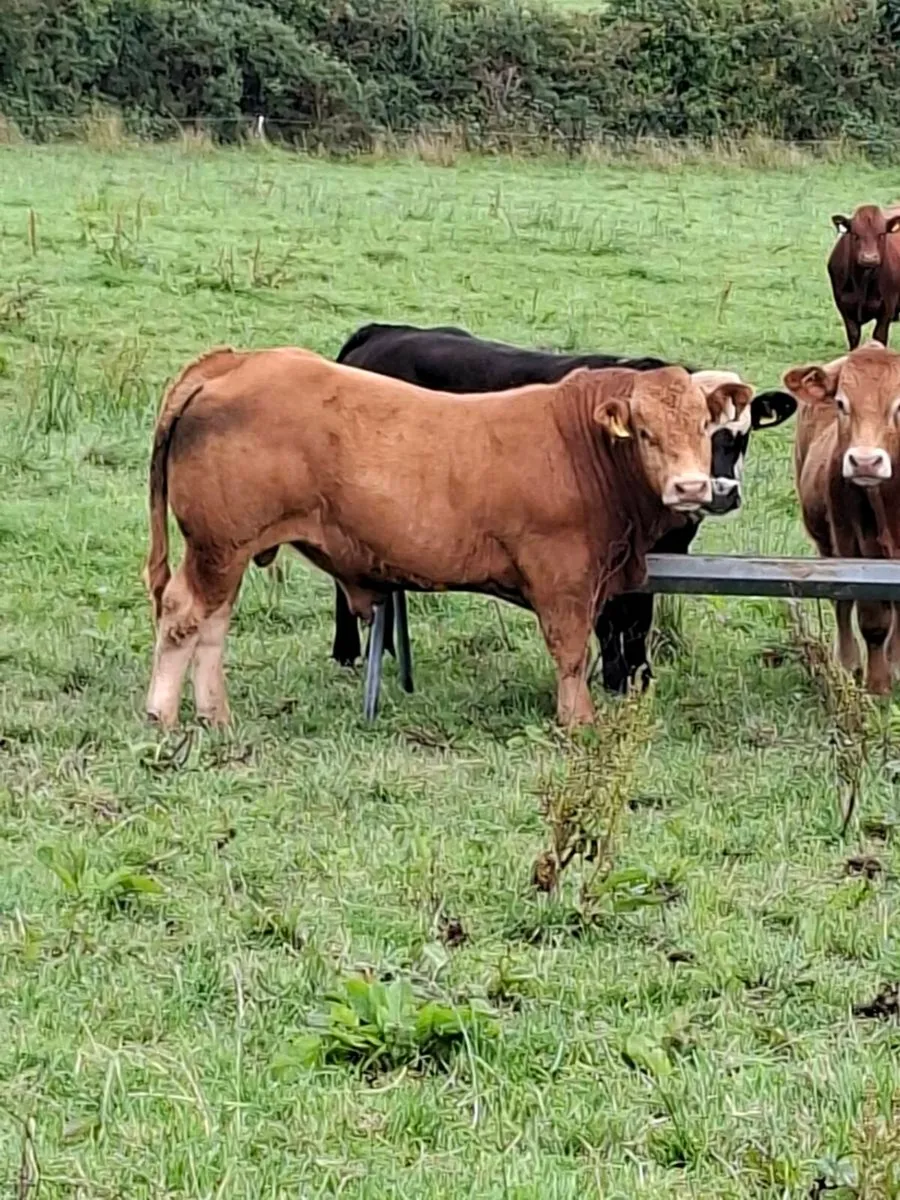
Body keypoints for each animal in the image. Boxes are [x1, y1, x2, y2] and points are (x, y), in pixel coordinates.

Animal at [144, 346, 749, 728]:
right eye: (644, 431)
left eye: (706, 426)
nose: (693, 486)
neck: (580, 447)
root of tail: (237, 361)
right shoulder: (564, 577)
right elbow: (572, 652)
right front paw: (578, 721)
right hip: (219, 545)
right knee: (184, 615)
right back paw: (163, 716)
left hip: (226, 552)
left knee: (212, 624)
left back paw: (216, 716)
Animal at [329, 322, 797, 694]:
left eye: (741, 434)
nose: (718, 490)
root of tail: (384, 332)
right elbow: (610, 617)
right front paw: (615, 678)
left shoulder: (665, 553)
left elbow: (639, 616)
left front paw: (639, 676)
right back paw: (346, 653)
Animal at [788, 340, 900, 694]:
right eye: (841, 403)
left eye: (899, 405)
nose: (865, 462)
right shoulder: (854, 548)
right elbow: (872, 618)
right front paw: (878, 685)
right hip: (828, 543)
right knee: (841, 602)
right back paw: (849, 663)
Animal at [828, 205, 900, 350]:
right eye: (856, 235)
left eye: (881, 234)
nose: (869, 258)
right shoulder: (845, 307)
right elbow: (854, 335)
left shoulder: (887, 307)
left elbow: (879, 337)